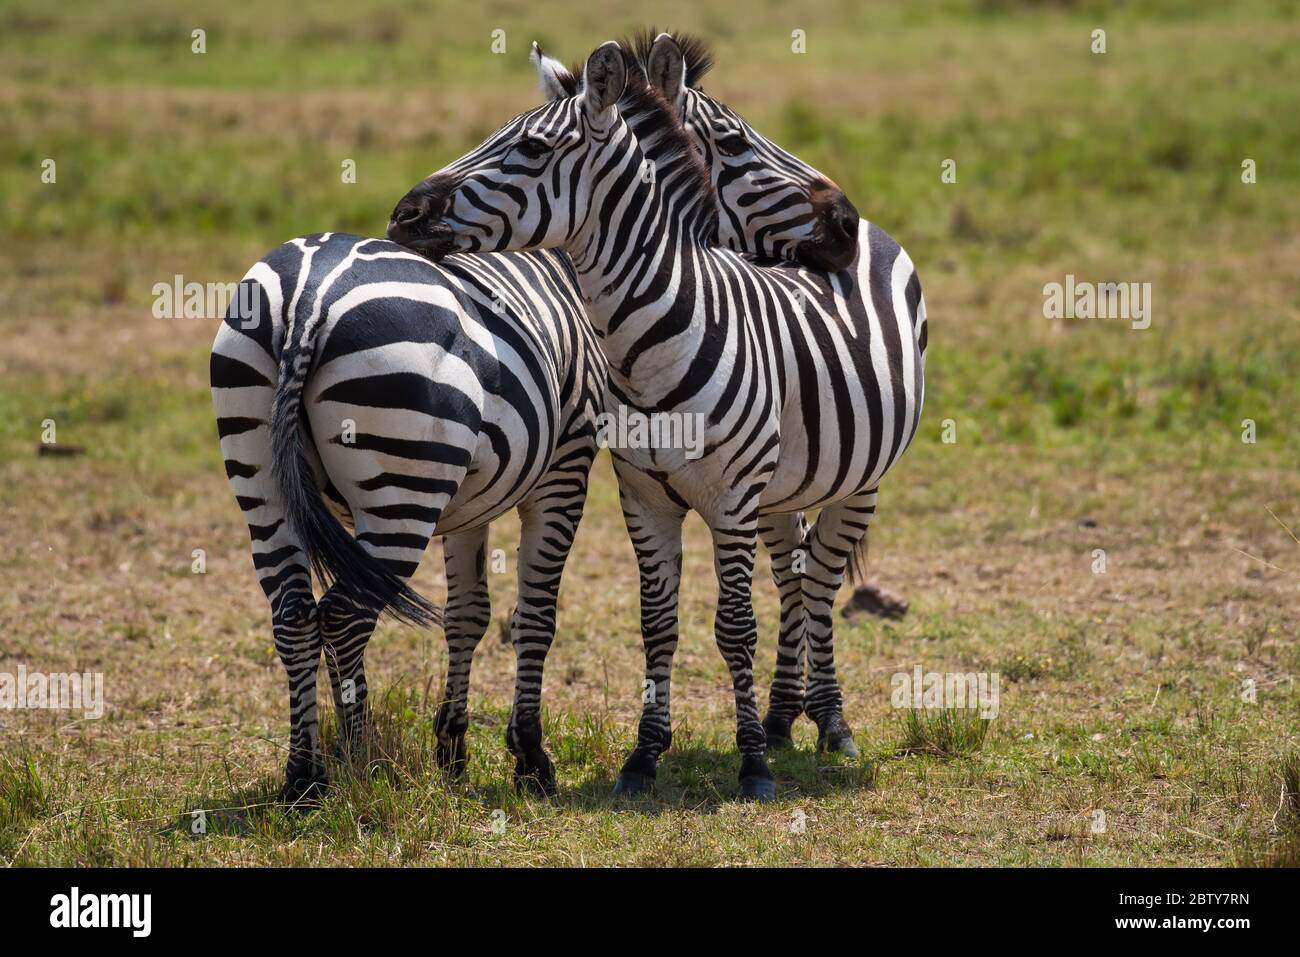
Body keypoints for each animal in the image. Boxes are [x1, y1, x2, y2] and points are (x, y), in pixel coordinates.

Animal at [211, 39, 859, 803]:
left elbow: (468, 615)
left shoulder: (466, 505)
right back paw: (359, 766)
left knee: (293, 615)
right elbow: (537, 614)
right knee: (345, 613)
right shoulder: (565, 470)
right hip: (398, 490)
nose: (848, 224)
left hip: (261, 478)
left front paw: (453, 750)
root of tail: (309, 298)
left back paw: (305, 777)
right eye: (733, 141)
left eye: (524, 143)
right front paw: (529, 757)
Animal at [387, 37, 927, 801]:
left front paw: (752, 766)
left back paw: (831, 724)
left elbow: (733, 626)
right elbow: (658, 623)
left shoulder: (730, 498)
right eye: (733, 140)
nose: (403, 215)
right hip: (782, 488)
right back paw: (784, 716)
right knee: (794, 577)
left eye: (529, 148)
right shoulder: (644, 496)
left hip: (861, 480)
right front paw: (645, 757)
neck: (650, 342)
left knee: (821, 579)